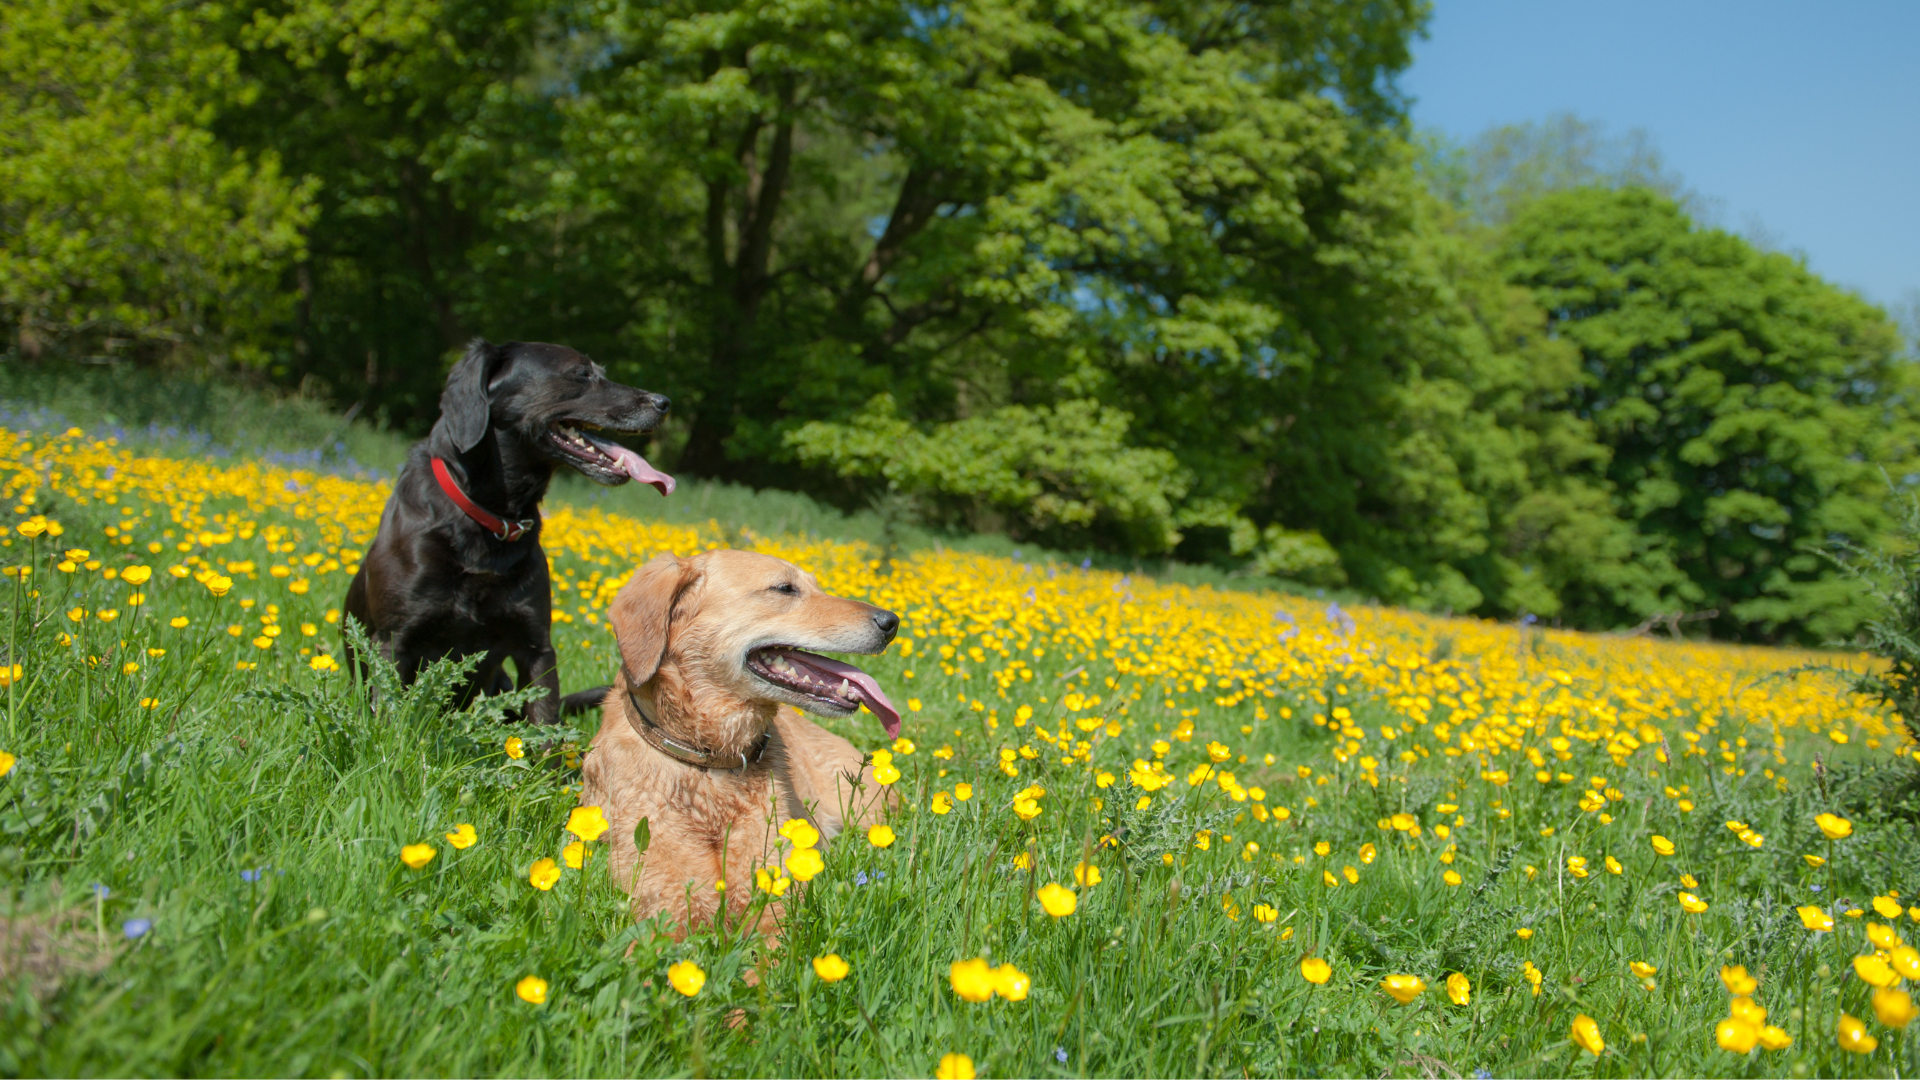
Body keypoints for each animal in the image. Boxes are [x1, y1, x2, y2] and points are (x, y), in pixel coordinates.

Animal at [345, 340, 675, 718]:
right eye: (581, 373)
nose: (664, 402)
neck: (491, 517)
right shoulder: (391, 641)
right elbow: (388, 715)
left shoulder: (536, 646)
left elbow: (545, 722)